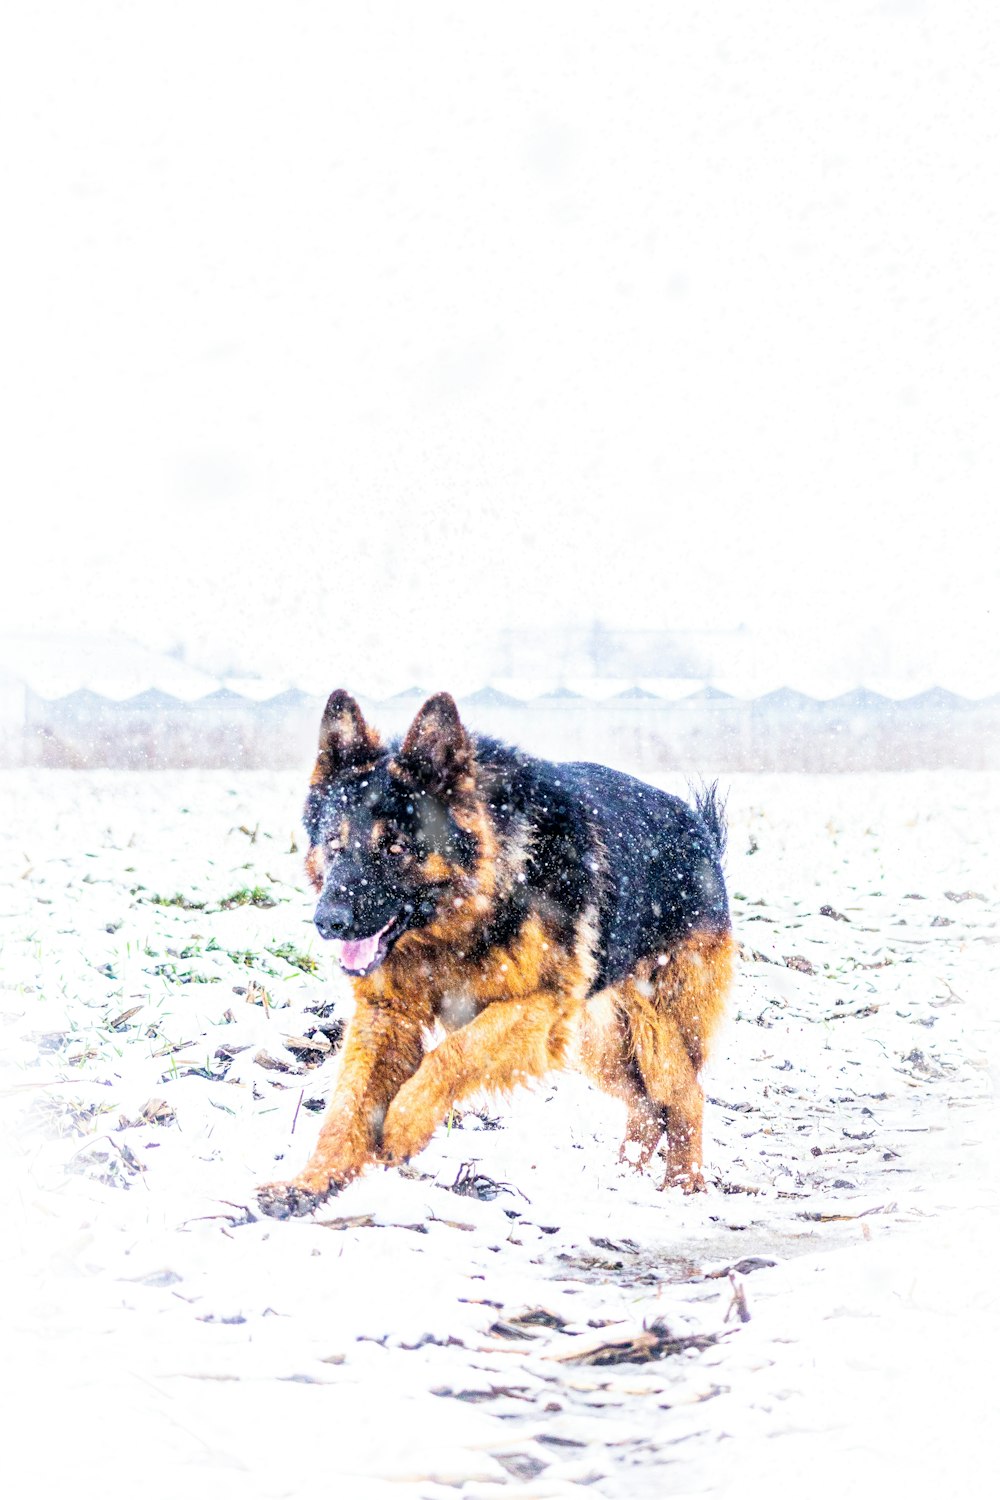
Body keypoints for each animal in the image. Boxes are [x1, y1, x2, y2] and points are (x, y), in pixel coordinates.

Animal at [257, 690, 731, 1218]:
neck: (461, 919)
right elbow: (348, 1106)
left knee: (684, 1095)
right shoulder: (387, 1015)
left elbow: (454, 1054)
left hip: (656, 1027)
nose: (329, 921)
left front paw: (403, 1123)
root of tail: (701, 832)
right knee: (646, 1107)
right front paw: (308, 1183)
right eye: (335, 845)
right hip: (603, 1044)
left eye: (396, 847)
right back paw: (622, 1176)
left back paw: (683, 1186)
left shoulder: (539, 1009)